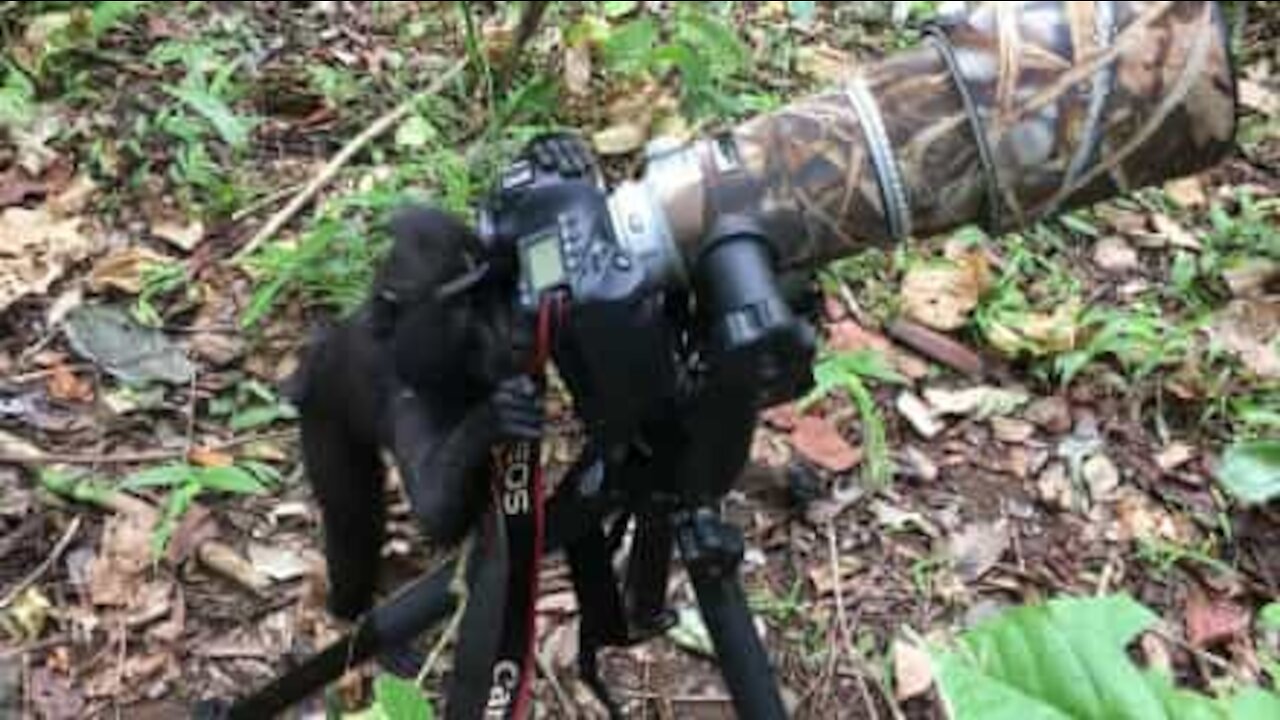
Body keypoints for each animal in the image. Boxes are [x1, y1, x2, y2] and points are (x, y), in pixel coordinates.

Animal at [288, 202, 542, 622]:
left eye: (493, 296)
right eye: (465, 307)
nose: (506, 336)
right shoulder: (405, 401)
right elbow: (432, 508)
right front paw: (494, 418)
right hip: (322, 418)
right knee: (351, 517)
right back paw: (349, 609)